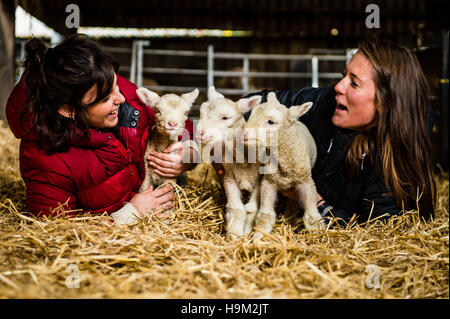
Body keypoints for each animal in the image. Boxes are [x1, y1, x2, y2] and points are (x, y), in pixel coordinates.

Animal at [195, 87, 262, 238]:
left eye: (225, 118)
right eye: (201, 113)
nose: (200, 133)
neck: (242, 161)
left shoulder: (259, 180)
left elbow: (251, 209)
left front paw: (246, 233)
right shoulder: (228, 176)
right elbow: (236, 208)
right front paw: (235, 235)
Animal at [243, 91, 324, 236]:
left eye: (271, 121)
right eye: (251, 114)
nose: (244, 133)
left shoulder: (306, 181)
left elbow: (312, 218)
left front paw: (317, 235)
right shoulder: (268, 182)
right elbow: (265, 216)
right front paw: (258, 237)